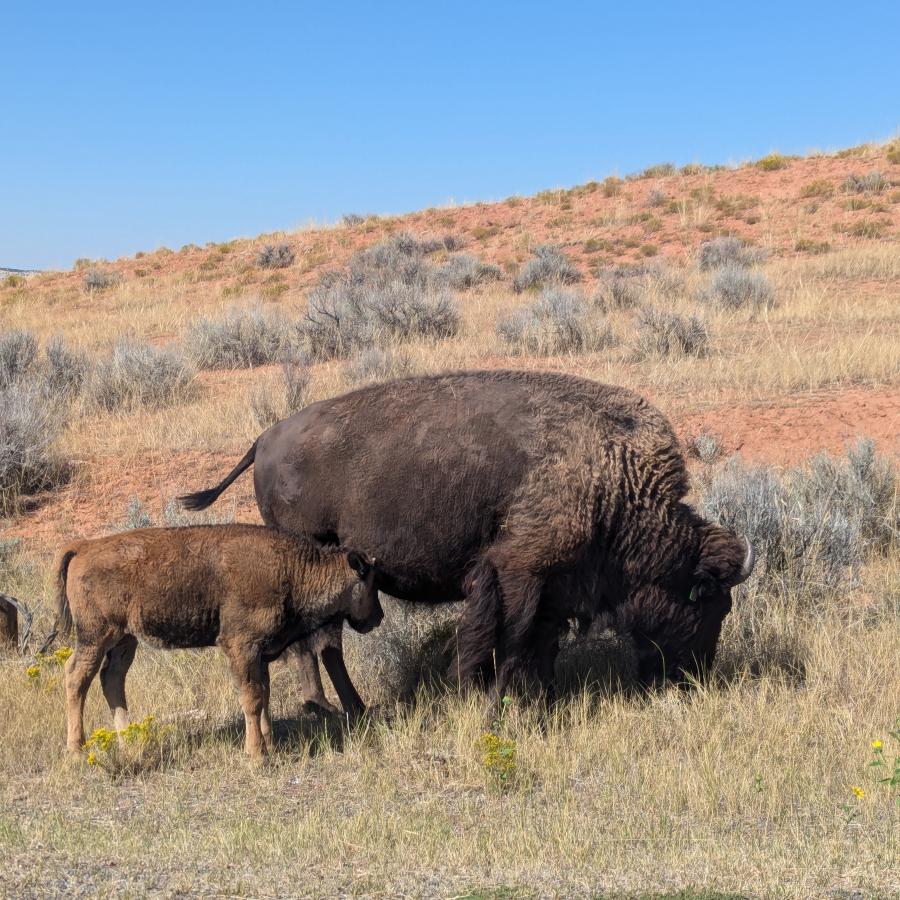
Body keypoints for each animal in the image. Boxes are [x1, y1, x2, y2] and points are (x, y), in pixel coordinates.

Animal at [56, 524, 380, 756]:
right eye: (368, 581)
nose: (377, 617)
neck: (295, 569)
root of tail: (83, 547)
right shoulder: (240, 646)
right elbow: (252, 698)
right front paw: (257, 755)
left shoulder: (260, 655)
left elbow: (264, 695)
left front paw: (270, 746)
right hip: (96, 636)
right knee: (76, 677)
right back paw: (77, 750)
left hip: (125, 639)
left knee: (112, 679)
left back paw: (128, 742)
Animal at [181, 370, 752, 704]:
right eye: (710, 604)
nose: (694, 675)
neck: (612, 473)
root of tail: (264, 439)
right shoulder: (518, 572)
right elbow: (507, 638)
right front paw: (490, 698)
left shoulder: (551, 586)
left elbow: (538, 643)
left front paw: (540, 697)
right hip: (313, 565)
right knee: (320, 643)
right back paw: (338, 709)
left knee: (319, 643)